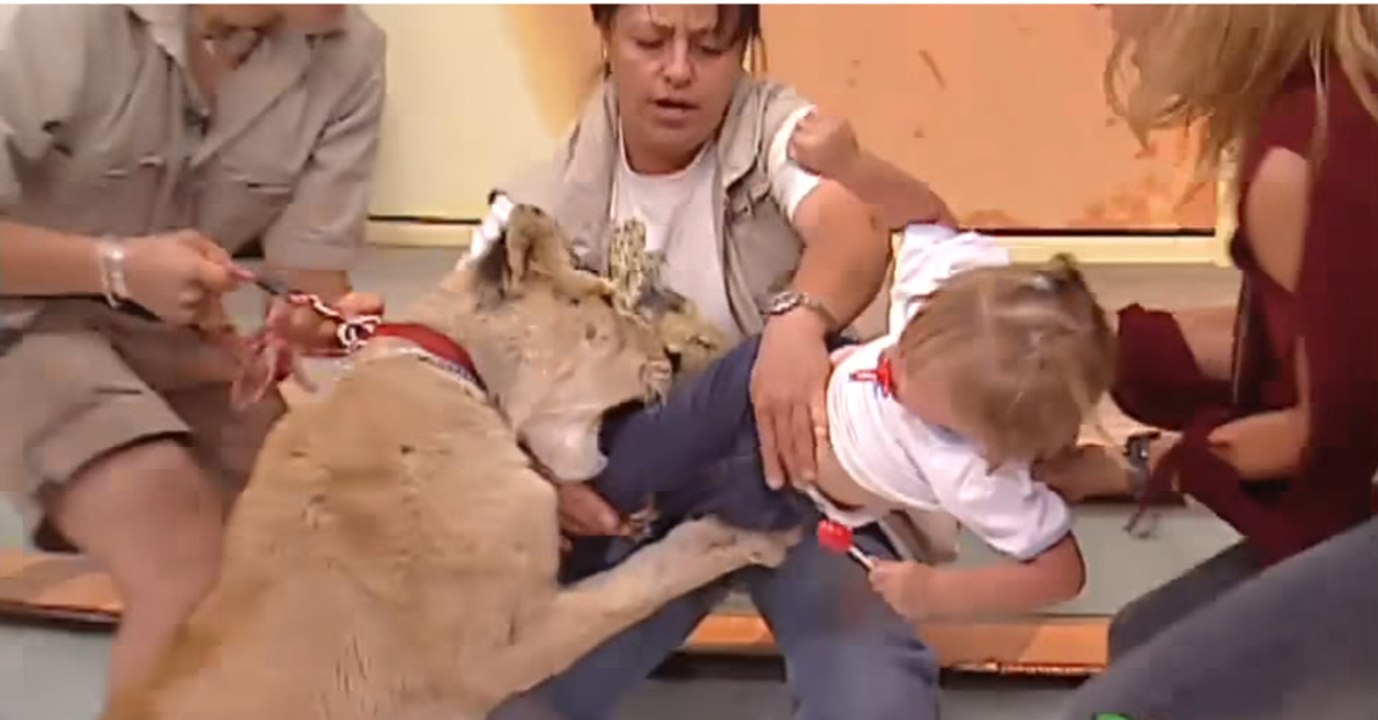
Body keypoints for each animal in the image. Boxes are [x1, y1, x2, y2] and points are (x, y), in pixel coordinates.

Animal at [104, 204, 796, 720]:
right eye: (606, 300)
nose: (673, 357)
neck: (460, 375)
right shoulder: (499, 654)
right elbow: (641, 581)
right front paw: (741, 538)